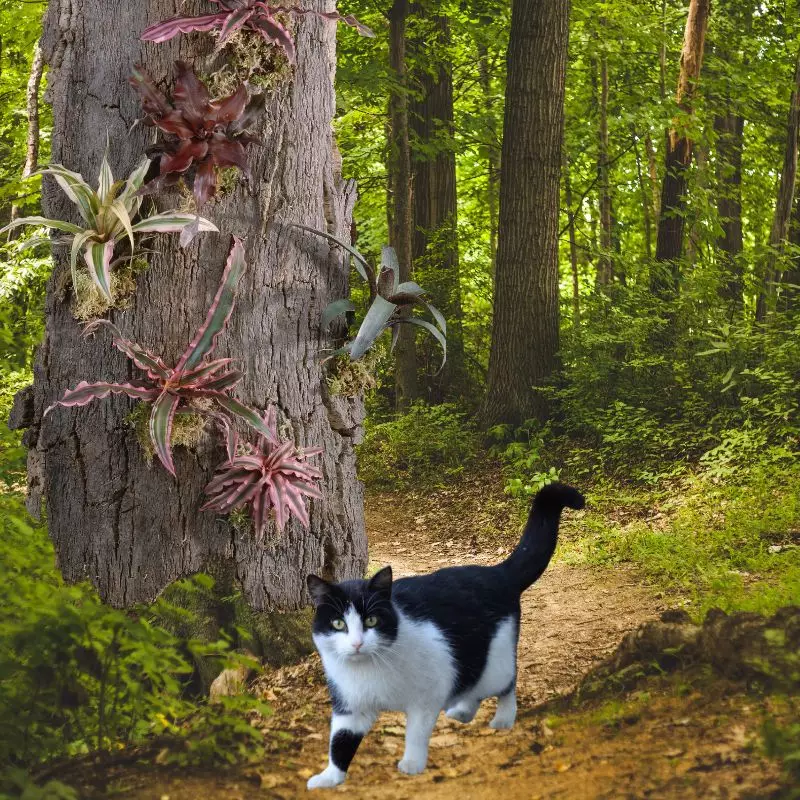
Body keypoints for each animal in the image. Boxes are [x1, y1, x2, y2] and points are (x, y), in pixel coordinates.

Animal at [304, 482, 584, 788]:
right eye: (338, 624)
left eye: (371, 620)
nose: (356, 643)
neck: (369, 671)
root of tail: (497, 573)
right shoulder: (350, 707)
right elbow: (339, 742)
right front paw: (329, 777)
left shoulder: (427, 696)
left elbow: (416, 733)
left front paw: (412, 764)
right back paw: (463, 711)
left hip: (494, 659)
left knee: (507, 683)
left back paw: (504, 718)